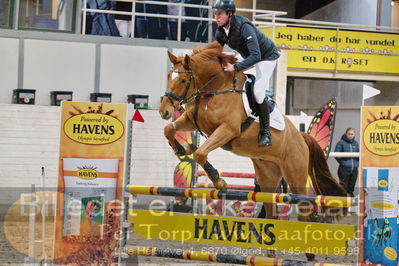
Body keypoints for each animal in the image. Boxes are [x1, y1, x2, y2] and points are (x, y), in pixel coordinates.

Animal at [158, 41, 348, 260]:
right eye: (169, 76)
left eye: (182, 79)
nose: (164, 111)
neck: (216, 89)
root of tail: (301, 137)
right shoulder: (192, 120)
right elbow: (169, 129)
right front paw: (181, 147)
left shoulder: (227, 129)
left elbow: (201, 153)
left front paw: (219, 181)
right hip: (267, 176)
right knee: (272, 211)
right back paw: (271, 255)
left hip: (295, 174)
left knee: (304, 208)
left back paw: (309, 255)